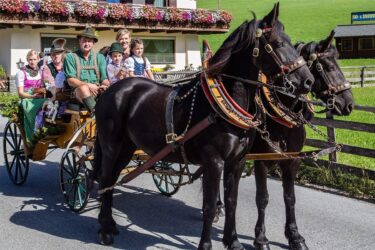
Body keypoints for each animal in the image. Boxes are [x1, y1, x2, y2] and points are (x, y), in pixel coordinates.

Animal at [93, 3, 314, 248]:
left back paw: (110, 223)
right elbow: (208, 207)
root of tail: (109, 91)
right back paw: (104, 228)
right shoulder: (213, 161)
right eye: (277, 44)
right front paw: (206, 244)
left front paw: (233, 241)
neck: (221, 105)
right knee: (106, 179)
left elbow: (232, 201)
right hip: (111, 146)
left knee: (112, 180)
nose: (307, 81)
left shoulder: (237, 161)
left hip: (127, 147)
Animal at [251, 31, 354, 250]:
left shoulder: (292, 160)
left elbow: (290, 197)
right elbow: (262, 198)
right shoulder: (260, 160)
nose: (349, 103)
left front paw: (295, 236)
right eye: (329, 67)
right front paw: (261, 239)